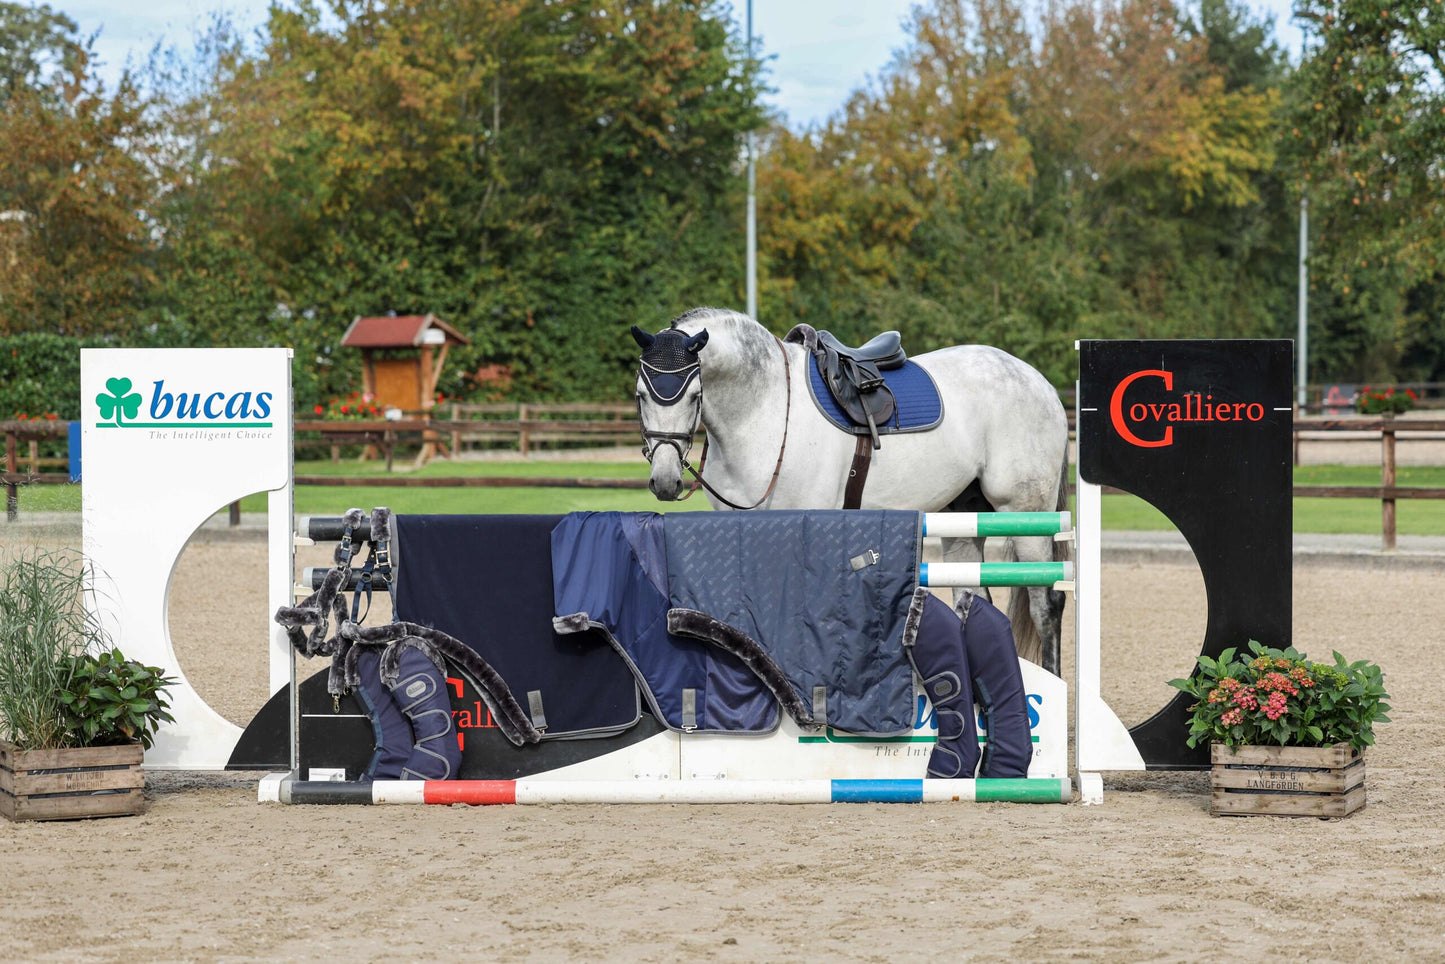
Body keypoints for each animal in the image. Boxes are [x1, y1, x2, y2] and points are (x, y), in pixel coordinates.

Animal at [635, 304, 1075, 676]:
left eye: (694, 394)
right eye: (641, 395)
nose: (665, 481)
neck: (765, 410)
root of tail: (1040, 383)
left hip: (1025, 514)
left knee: (1046, 604)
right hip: (962, 520)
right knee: (971, 601)